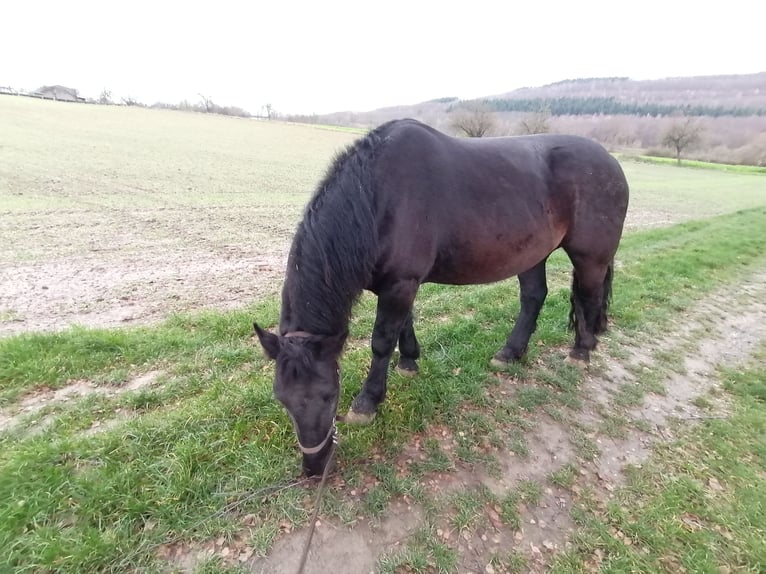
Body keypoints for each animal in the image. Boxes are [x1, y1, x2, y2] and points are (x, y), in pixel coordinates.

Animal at [255, 118, 629, 476]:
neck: (377, 197)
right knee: (534, 297)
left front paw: (367, 402)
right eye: (281, 399)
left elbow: (381, 341)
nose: (314, 468)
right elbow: (403, 326)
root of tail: (611, 161)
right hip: (532, 253)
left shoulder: (401, 283)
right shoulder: (399, 285)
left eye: (330, 395)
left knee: (587, 297)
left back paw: (580, 352)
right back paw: (510, 353)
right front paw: (409, 362)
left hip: (590, 257)